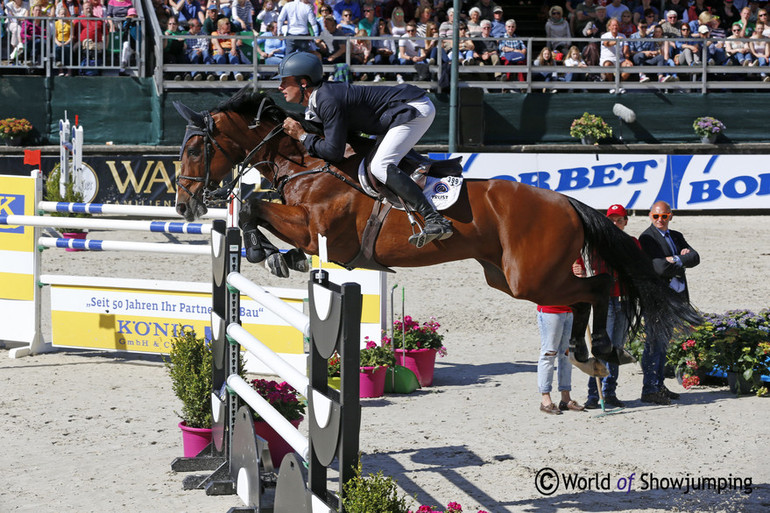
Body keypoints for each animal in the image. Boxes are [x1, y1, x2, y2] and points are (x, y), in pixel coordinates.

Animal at [172, 86, 696, 362]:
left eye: (196, 148)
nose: (183, 206)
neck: (309, 163)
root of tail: (566, 202)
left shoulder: (322, 232)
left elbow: (255, 208)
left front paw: (271, 255)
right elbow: (256, 208)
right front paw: (280, 257)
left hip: (529, 275)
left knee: (598, 285)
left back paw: (602, 347)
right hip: (510, 277)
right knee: (583, 293)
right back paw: (582, 351)